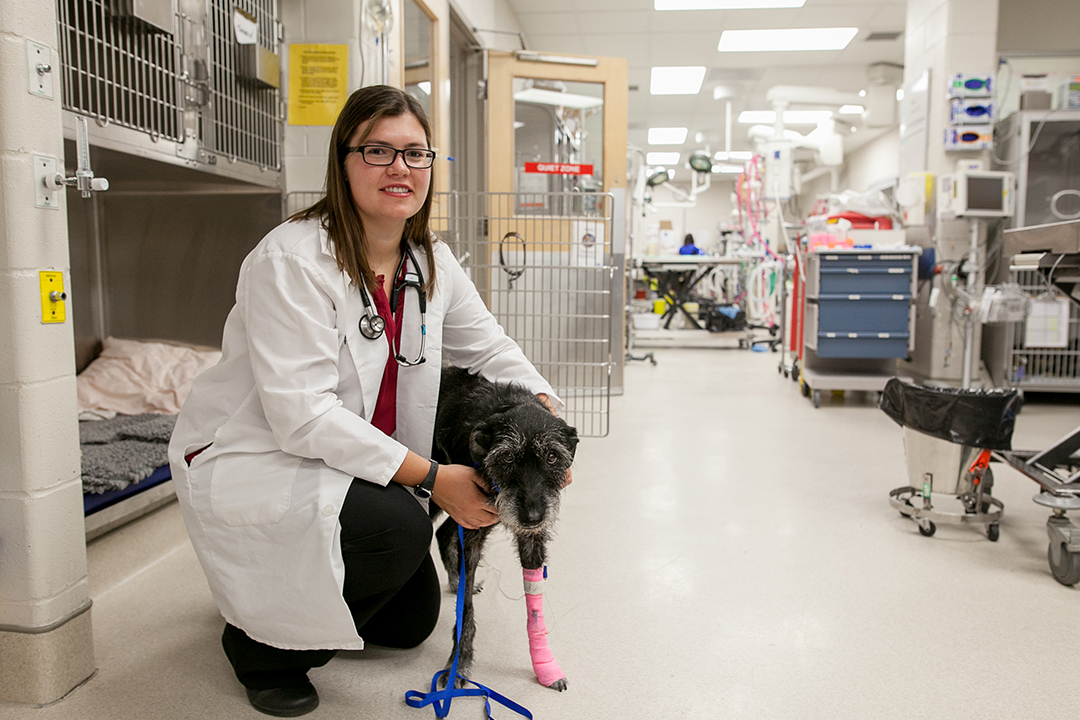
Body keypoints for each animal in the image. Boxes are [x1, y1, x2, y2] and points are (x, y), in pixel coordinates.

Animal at [432, 367, 583, 690]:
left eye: (552, 456)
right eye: (507, 456)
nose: (532, 517)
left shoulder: (529, 538)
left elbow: (534, 608)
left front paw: (544, 664)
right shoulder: (471, 526)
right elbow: (466, 609)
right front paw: (458, 663)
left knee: (443, 532)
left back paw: (454, 578)